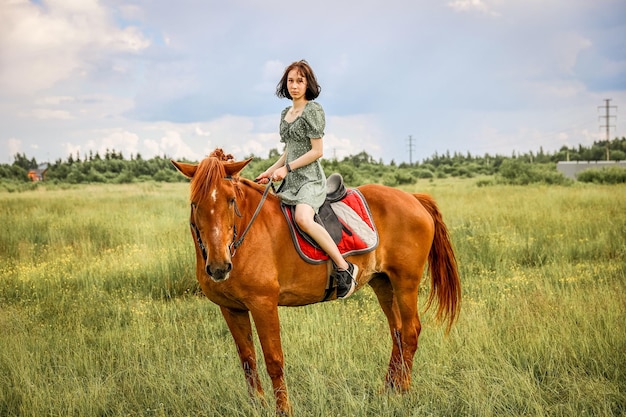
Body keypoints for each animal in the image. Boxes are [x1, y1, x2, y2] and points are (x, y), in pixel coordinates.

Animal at [171, 150, 458, 416]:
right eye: (195, 204)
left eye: (231, 201)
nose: (219, 267)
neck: (247, 234)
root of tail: (414, 198)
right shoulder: (231, 309)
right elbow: (247, 359)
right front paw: (257, 406)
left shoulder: (264, 305)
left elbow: (273, 360)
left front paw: (283, 410)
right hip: (383, 284)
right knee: (396, 332)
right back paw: (388, 388)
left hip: (405, 283)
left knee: (410, 332)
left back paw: (403, 392)